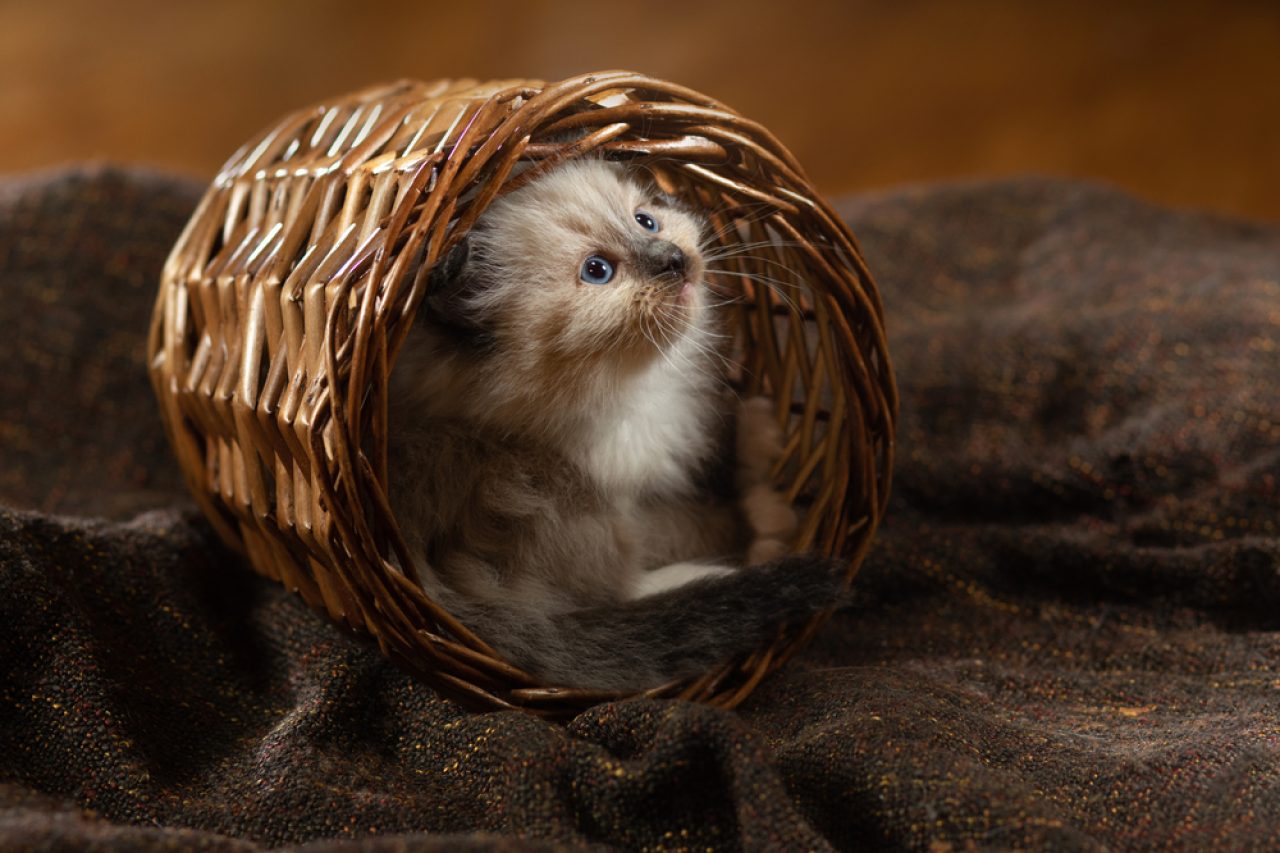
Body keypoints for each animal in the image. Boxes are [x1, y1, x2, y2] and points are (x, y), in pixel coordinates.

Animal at [386, 159, 839, 691]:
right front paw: (766, 524)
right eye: (597, 271)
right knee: (616, 594)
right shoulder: (624, 501)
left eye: (646, 221)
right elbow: (708, 521)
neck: (636, 389)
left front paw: (760, 433)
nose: (673, 261)